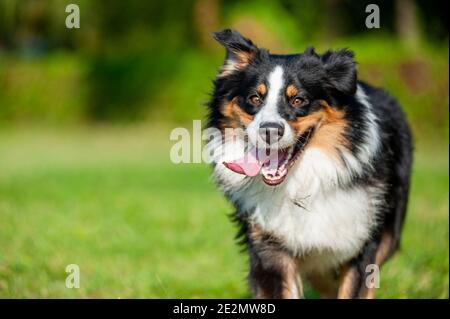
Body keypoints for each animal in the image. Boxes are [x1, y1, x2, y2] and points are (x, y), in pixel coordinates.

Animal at [206, 28, 414, 298]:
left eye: (298, 100)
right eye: (254, 98)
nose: (269, 130)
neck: (303, 182)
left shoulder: (361, 240)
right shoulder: (269, 245)